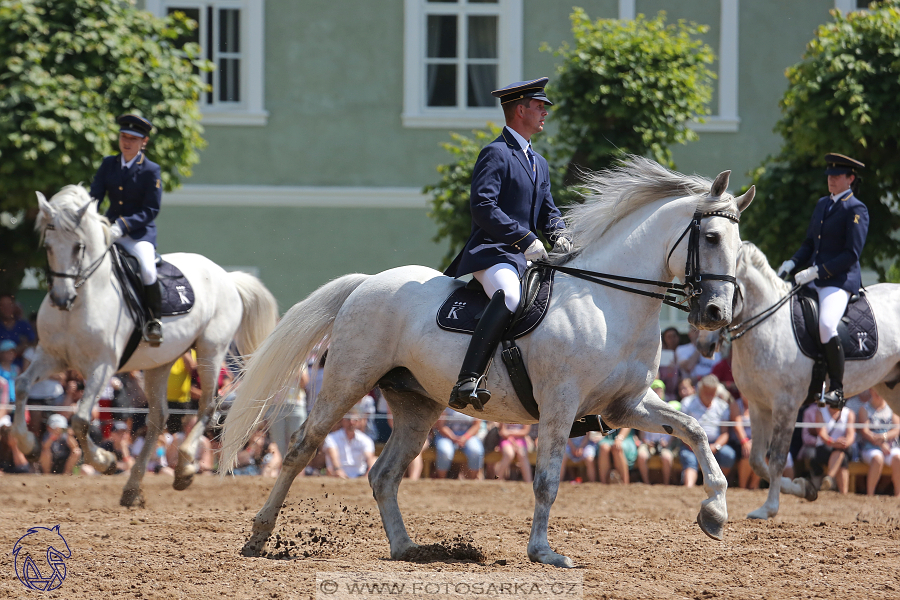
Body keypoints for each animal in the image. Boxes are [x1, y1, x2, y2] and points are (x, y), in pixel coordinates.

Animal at [12, 185, 276, 504]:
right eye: (48, 246)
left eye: (78, 247)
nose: (62, 299)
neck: (83, 300)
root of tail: (225, 276)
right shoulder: (51, 356)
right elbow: (22, 386)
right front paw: (28, 446)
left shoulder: (102, 367)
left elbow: (80, 419)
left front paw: (105, 461)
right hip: (159, 364)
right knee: (158, 419)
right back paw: (133, 488)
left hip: (210, 352)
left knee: (206, 408)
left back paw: (184, 468)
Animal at [223, 155, 752, 568]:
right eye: (709, 237)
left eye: (739, 246)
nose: (716, 314)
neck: (608, 301)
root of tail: (367, 282)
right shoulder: (560, 404)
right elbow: (547, 479)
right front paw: (543, 552)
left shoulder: (627, 406)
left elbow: (695, 430)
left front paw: (715, 513)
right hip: (347, 382)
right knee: (301, 449)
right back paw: (258, 537)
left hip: (417, 405)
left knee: (383, 474)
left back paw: (406, 548)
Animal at [696, 241, 900, 516]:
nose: (703, 345)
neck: (768, 325)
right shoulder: (759, 406)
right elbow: (758, 460)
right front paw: (805, 488)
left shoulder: (787, 405)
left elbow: (778, 458)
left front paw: (769, 508)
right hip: (892, 388)